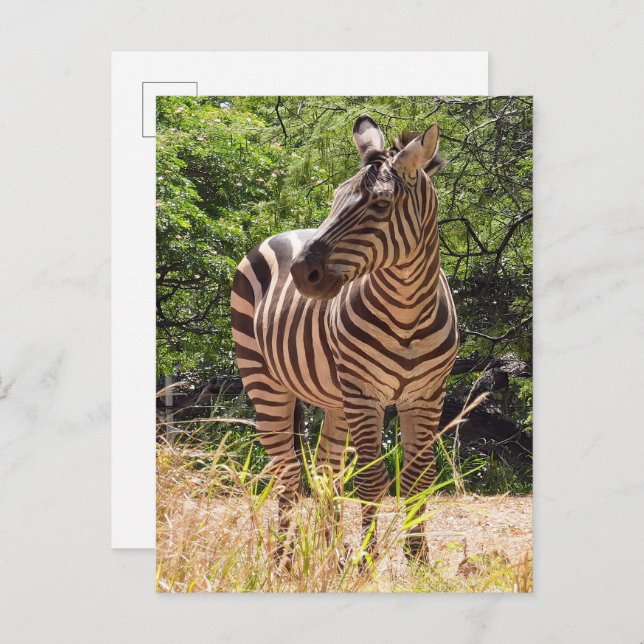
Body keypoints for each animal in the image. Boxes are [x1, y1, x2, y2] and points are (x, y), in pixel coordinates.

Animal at [231, 115, 459, 561]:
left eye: (381, 205)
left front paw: (418, 560)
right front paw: (367, 561)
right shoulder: (363, 392)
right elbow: (370, 482)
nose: (301, 274)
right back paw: (284, 560)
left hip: (334, 399)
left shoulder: (427, 395)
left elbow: (418, 479)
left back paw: (327, 556)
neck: (407, 313)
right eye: (335, 199)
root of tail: (283, 232)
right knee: (287, 472)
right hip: (265, 382)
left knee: (324, 470)